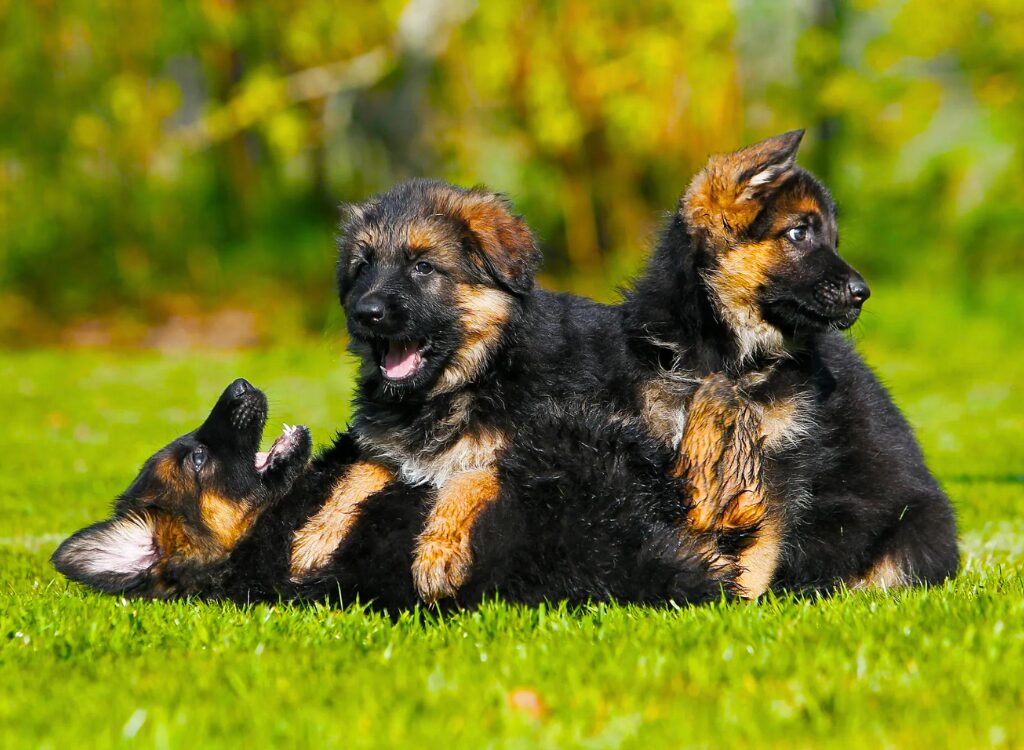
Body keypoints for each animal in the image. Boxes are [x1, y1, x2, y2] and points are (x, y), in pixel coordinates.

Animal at [622, 130, 958, 598]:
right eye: (799, 233)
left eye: (834, 241)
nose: (863, 293)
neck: (733, 356)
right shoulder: (674, 433)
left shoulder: (780, 457)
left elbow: (760, 543)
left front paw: (740, 600)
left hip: (916, 527)